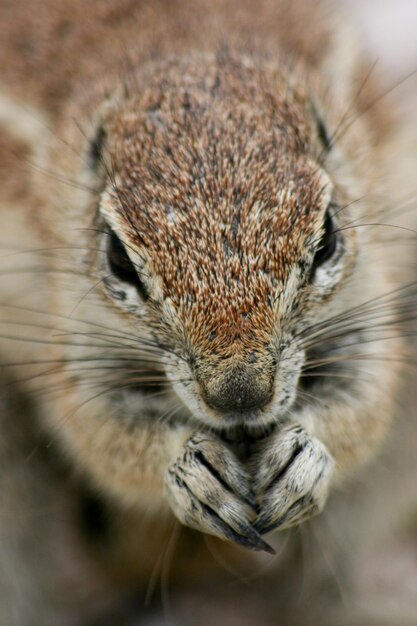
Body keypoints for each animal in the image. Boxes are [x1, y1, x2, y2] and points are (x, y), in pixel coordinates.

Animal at [0, 1, 416, 624]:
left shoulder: (369, 299)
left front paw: (306, 456)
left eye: (327, 238)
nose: (240, 397)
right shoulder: (73, 333)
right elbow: (99, 432)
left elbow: (366, 398)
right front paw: (190, 472)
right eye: (117, 258)